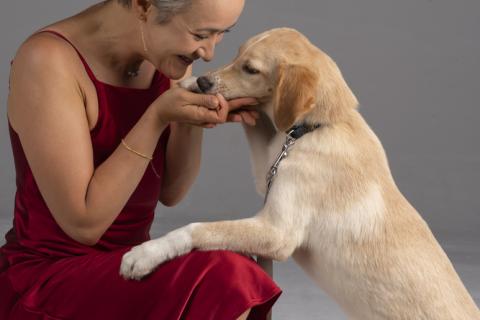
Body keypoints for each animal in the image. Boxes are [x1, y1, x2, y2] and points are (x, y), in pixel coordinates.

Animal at [121, 28, 480, 320]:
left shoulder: (277, 232)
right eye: (236, 55)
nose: (206, 81)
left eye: (251, 69)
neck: (318, 127)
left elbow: (198, 229)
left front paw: (145, 254)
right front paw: (188, 84)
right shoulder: (268, 167)